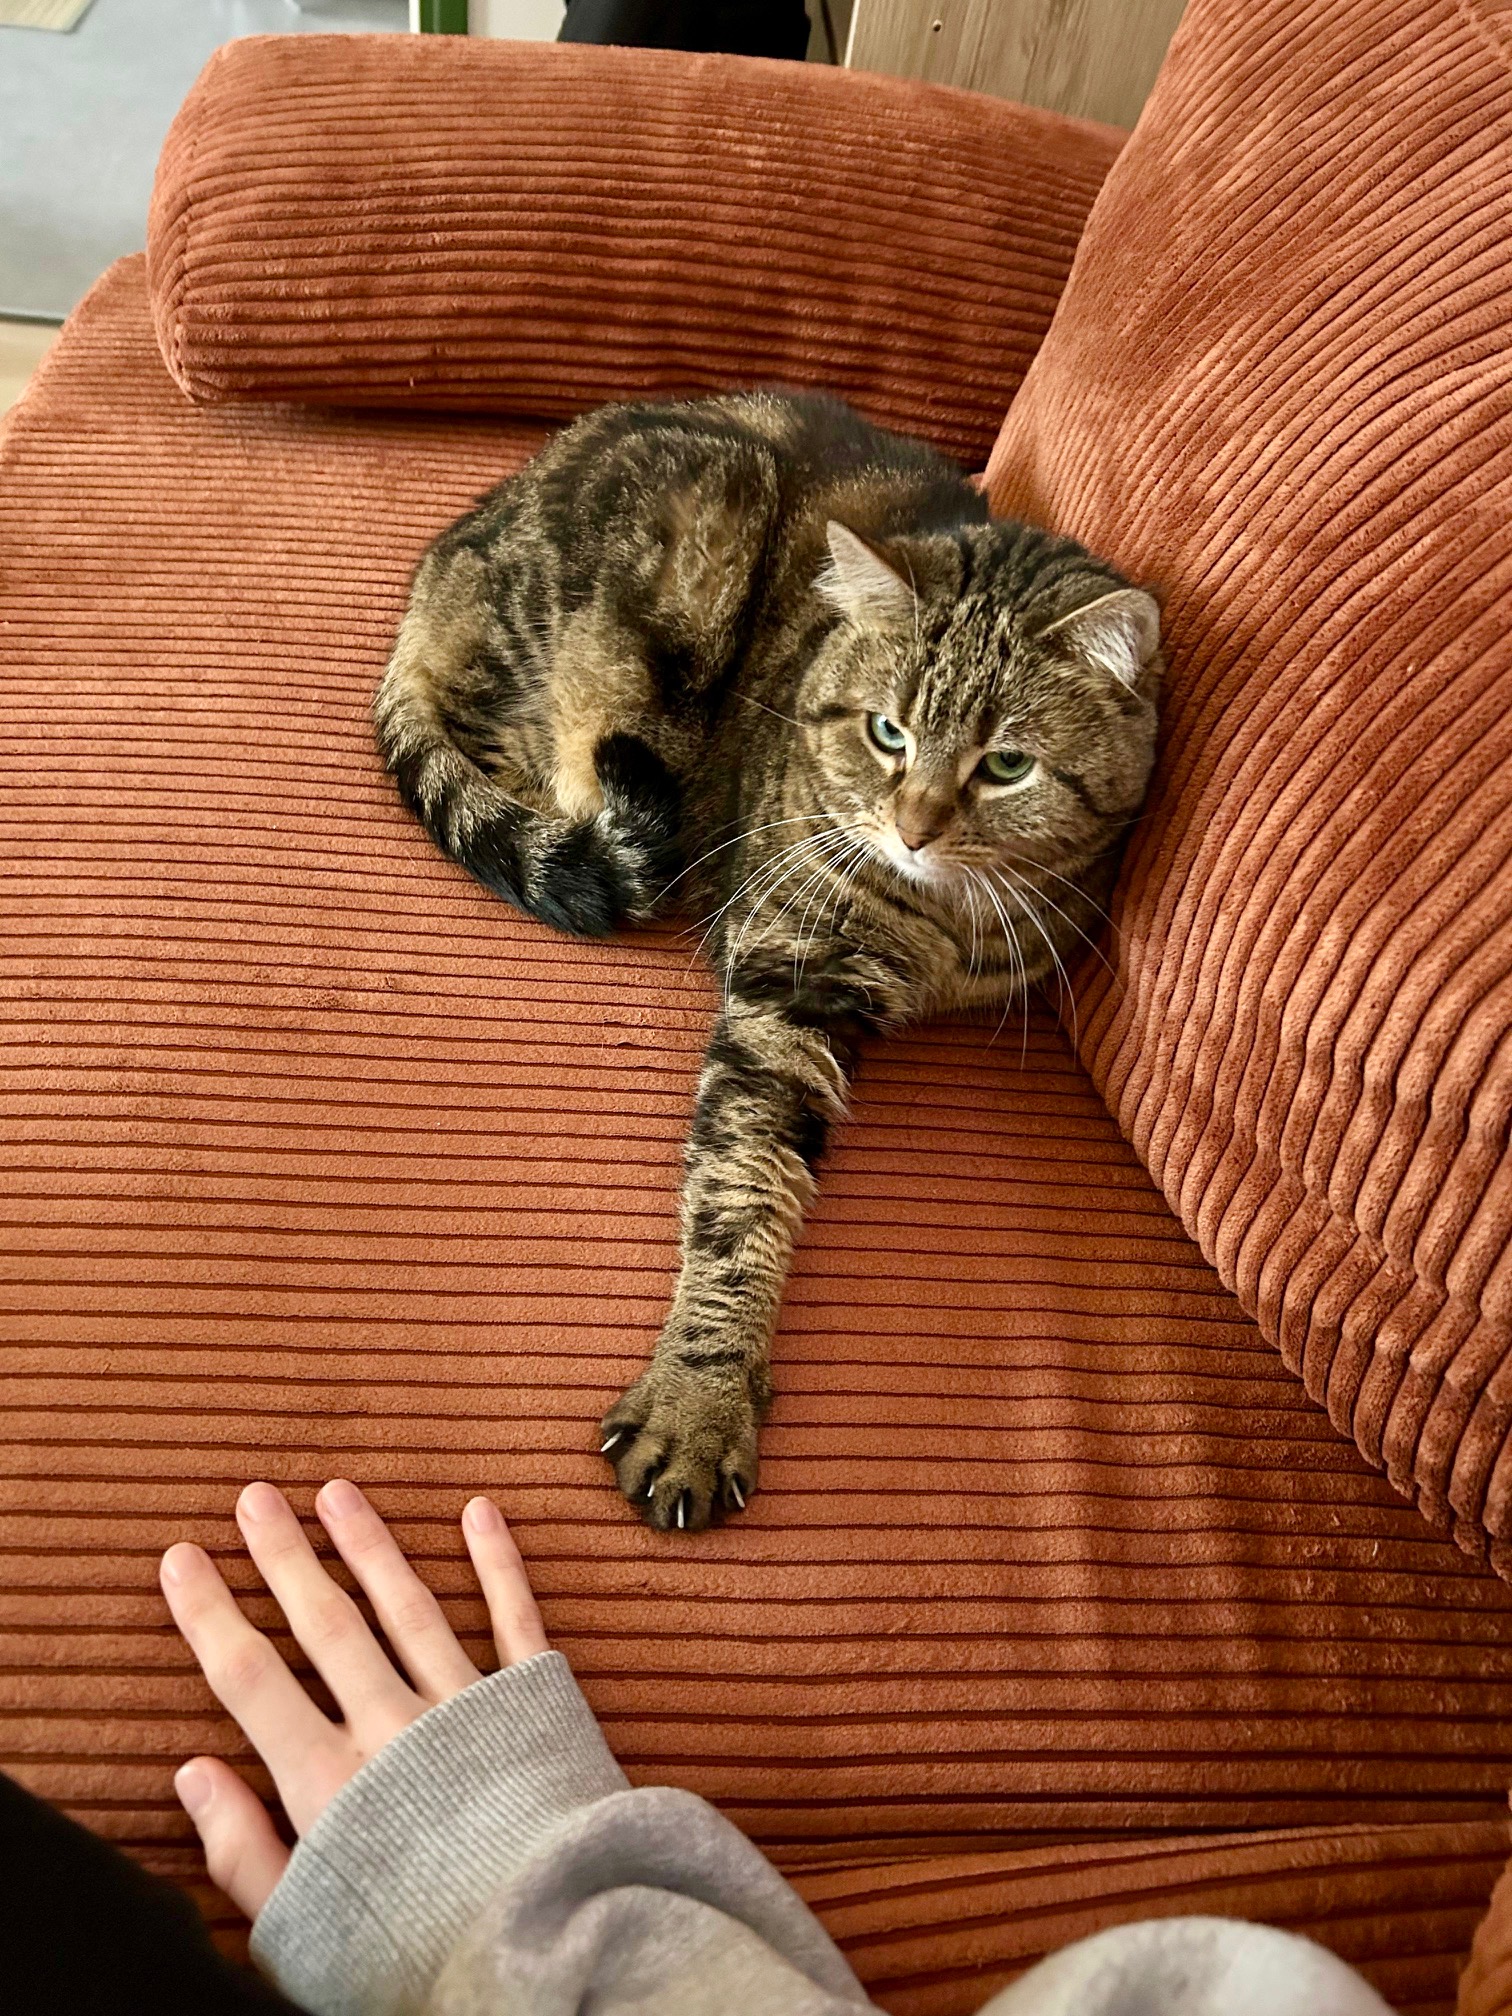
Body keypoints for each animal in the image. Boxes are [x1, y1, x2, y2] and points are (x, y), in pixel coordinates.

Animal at [375, 391, 1161, 1532]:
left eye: (1007, 764)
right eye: (887, 733)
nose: (913, 829)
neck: (943, 925)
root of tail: (456, 548)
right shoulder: (785, 978)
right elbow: (740, 1187)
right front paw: (700, 1397)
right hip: (691, 538)